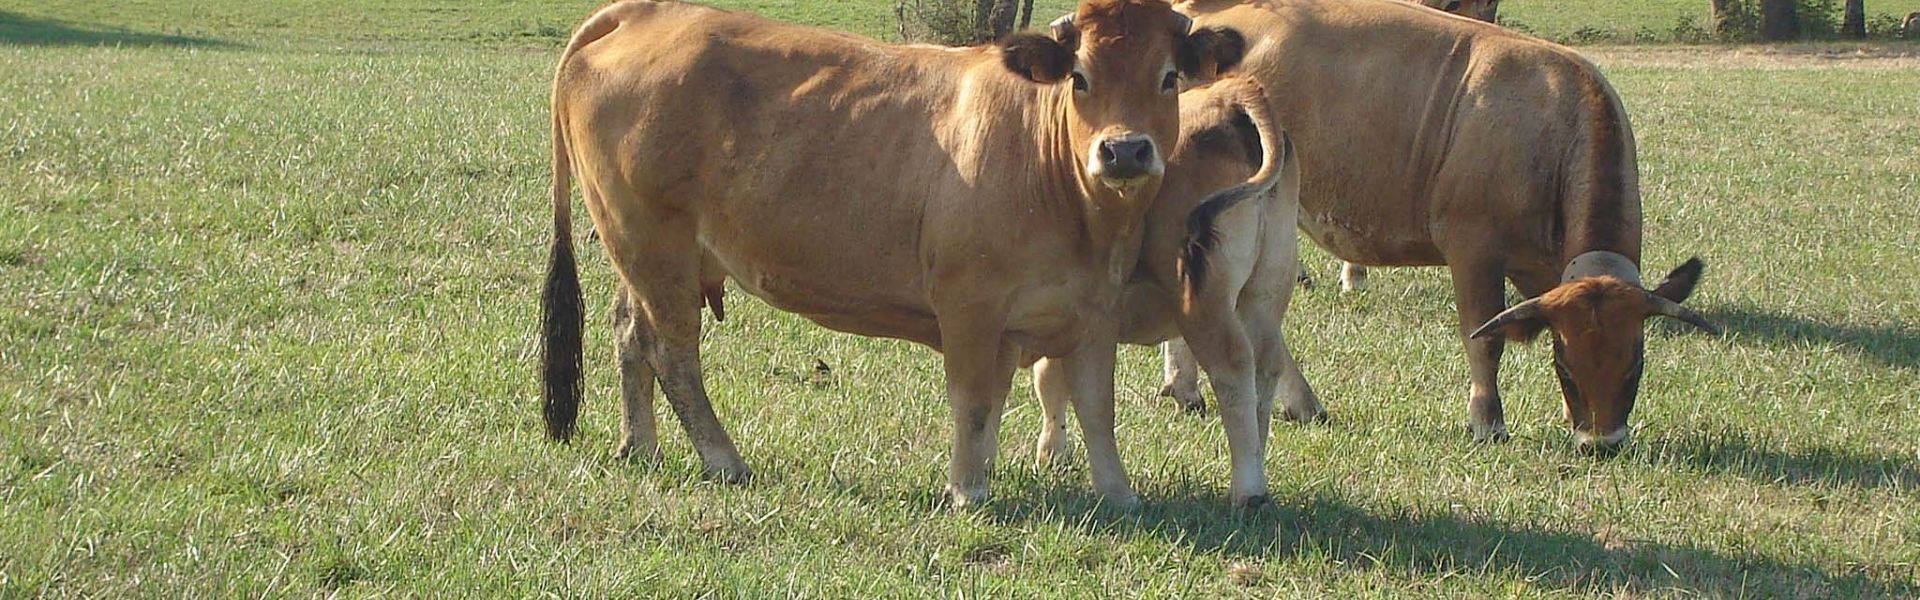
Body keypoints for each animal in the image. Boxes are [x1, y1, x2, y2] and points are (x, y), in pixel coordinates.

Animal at [540, 0, 1254, 509]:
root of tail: (645, 12)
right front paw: (968, 489)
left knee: (630, 333)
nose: (1124, 150)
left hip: (644, 251)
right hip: (652, 244)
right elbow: (973, 400)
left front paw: (1117, 492)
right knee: (672, 351)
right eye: (1079, 77)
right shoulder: (969, 305)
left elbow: (1094, 404)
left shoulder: (1091, 310)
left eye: (1169, 77)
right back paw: (723, 459)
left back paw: (641, 447)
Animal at [1033, 76, 1306, 507]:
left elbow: (1049, 379)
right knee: (1266, 365)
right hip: (1268, 286)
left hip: (1205, 298)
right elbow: (1053, 377)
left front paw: (1050, 453)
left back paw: (1248, 489)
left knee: (1233, 367)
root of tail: (1229, 96)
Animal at [1169, 0, 1718, 453]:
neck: (1550, 131)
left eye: (1636, 361)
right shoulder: (1473, 250)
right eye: (1564, 361)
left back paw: (1189, 388)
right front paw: (1488, 422)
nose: (1602, 443)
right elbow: (1485, 338)